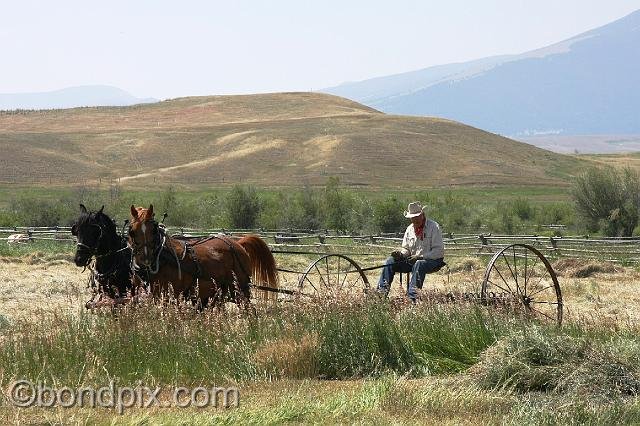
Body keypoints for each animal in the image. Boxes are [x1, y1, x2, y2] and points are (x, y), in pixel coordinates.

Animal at [129, 205, 278, 308]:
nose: (145, 258)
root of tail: (238, 243)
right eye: (132, 231)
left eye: (153, 230)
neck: (162, 257)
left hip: (240, 289)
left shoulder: (172, 294)